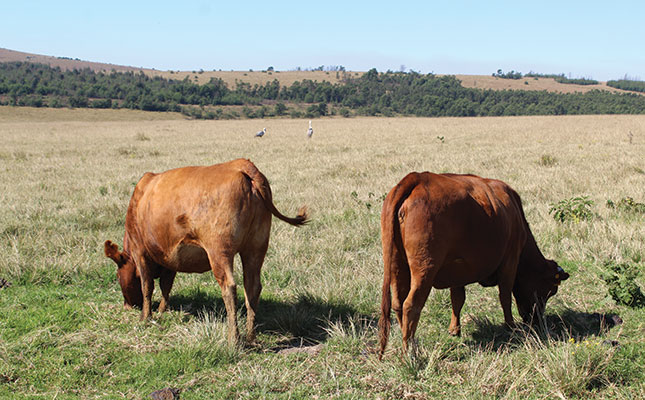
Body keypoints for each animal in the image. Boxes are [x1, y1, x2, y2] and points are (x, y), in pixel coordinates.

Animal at [104, 159, 308, 344]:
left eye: (118, 276)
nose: (127, 306)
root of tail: (241, 164)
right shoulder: (169, 256)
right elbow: (166, 285)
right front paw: (162, 310)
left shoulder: (140, 251)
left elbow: (147, 285)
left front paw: (146, 317)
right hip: (255, 248)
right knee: (252, 287)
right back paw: (251, 337)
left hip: (219, 251)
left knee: (229, 287)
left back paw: (234, 339)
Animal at [378, 171, 568, 356]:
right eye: (549, 291)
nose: (537, 320)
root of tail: (417, 177)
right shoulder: (510, 261)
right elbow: (505, 296)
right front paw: (510, 326)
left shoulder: (457, 272)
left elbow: (457, 300)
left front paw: (455, 330)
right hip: (425, 269)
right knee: (411, 305)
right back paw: (409, 351)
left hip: (397, 265)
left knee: (398, 304)